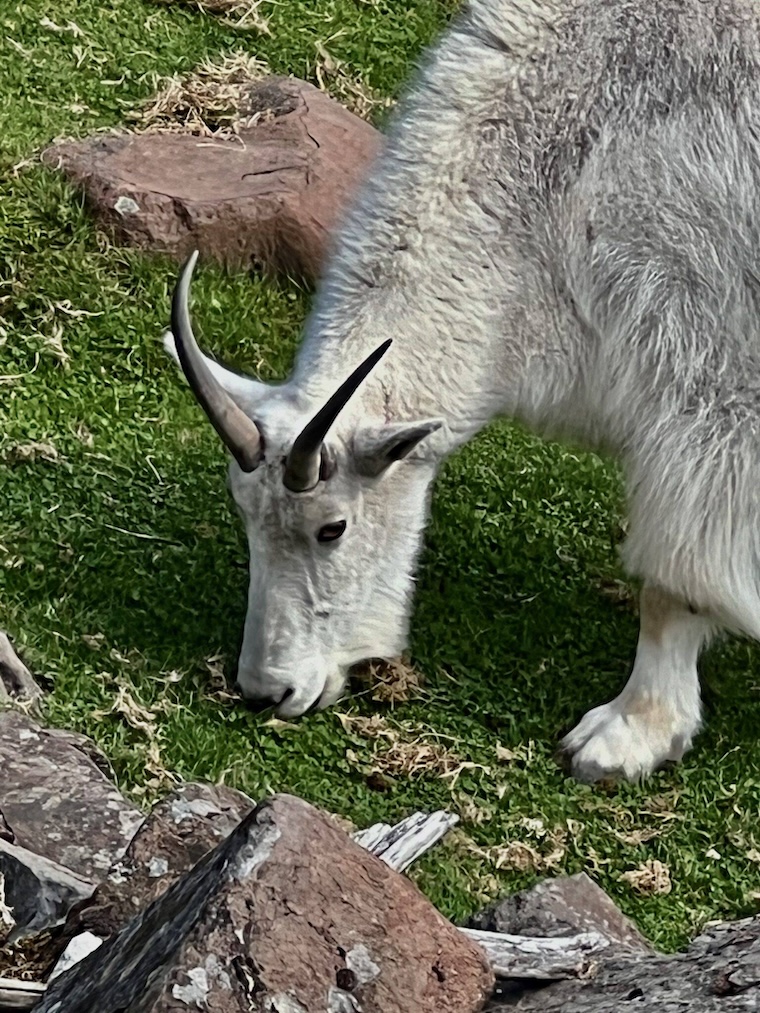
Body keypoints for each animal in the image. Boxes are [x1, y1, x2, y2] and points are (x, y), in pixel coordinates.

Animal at [165, 0, 760, 781]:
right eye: (243, 512)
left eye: (332, 527)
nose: (269, 690)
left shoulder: (711, 372)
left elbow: (676, 580)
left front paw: (628, 732)